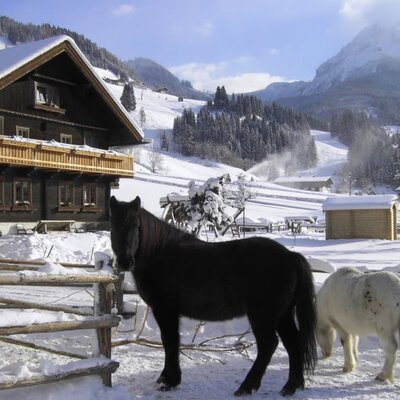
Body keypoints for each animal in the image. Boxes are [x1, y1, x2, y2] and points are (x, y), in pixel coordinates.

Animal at [108, 195, 318, 396]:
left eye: (136, 226)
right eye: (113, 226)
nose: (125, 261)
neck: (160, 252)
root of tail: (290, 256)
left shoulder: (165, 310)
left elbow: (169, 341)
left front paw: (170, 380)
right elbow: (171, 341)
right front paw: (167, 377)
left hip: (263, 316)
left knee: (269, 345)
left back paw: (247, 386)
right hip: (282, 315)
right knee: (293, 343)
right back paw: (291, 386)